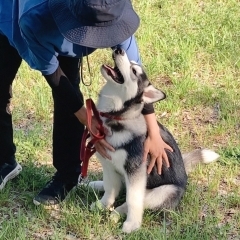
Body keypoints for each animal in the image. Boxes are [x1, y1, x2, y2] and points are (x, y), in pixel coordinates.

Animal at [90, 47, 219, 233]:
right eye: (132, 64)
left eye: (134, 71)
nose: (118, 49)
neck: (117, 117)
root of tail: (185, 173)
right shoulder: (108, 164)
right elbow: (110, 188)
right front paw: (102, 205)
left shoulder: (136, 172)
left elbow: (132, 200)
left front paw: (132, 224)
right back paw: (95, 185)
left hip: (164, 191)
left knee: (135, 199)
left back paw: (116, 215)